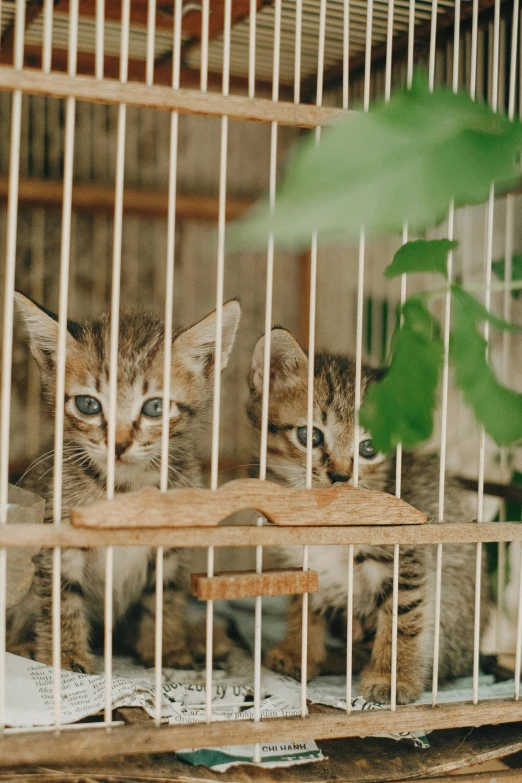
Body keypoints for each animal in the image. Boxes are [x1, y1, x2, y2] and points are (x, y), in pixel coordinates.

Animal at [8, 294, 240, 672]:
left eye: (155, 408)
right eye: (88, 404)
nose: (117, 444)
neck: (125, 488)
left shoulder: (170, 549)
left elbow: (165, 599)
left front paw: (167, 649)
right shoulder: (57, 536)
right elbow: (62, 599)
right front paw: (67, 656)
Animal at [246, 328, 486, 708]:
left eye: (369, 448)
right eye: (309, 435)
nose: (341, 476)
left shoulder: (406, 560)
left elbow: (402, 620)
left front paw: (392, 679)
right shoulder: (305, 562)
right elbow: (303, 607)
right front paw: (298, 653)